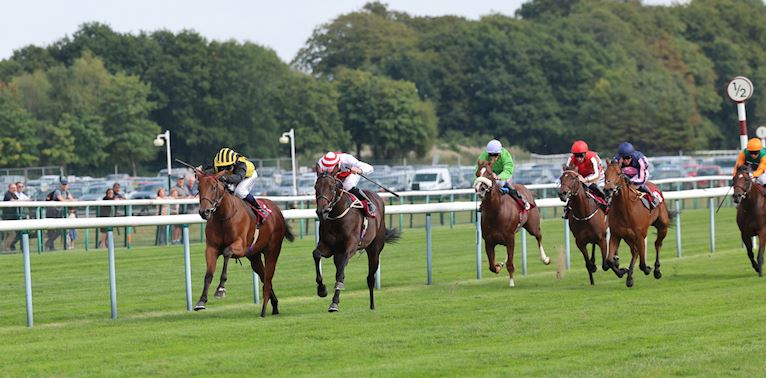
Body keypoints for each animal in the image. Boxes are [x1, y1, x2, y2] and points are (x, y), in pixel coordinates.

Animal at [195, 170, 294, 318]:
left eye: (214, 187)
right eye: (199, 188)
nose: (204, 211)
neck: (224, 217)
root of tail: (277, 209)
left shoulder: (241, 247)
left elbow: (227, 252)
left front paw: (220, 289)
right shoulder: (211, 248)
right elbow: (208, 274)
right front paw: (201, 301)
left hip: (272, 250)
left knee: (268, 277)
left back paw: (264, 310)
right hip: (254, 256)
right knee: (264, 276)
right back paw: (275, 306)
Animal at [316, 173, 404, 312]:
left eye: (331, 187)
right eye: (316, 187)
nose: (322, 211)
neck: (337, 217)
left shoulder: (349, 248)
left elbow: (340, 274)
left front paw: (334, 303)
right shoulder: (327, 247)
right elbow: (317, 255)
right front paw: (321, 290)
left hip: (374, 251)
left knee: (370, 278)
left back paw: (372, 305)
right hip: (338, 254)